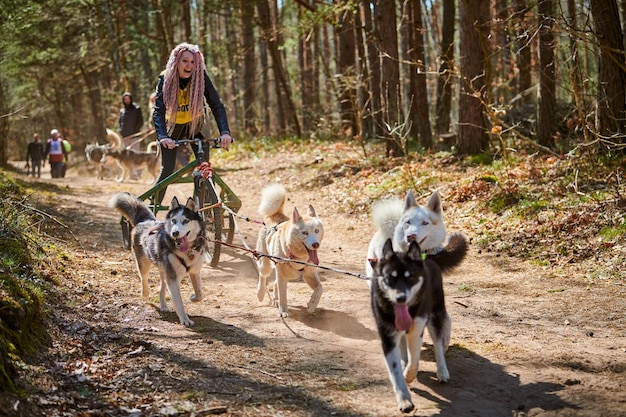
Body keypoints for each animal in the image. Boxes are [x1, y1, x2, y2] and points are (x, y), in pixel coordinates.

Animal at [108, 191, 205, 324]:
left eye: (186, 221)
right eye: (173, 220)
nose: (175, 233)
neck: (187, 251)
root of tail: (145, 221)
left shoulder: (194, 271)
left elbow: (200, 294)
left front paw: (193, 297)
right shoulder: (173, 277)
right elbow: (178, 301)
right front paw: (185, 319)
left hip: (164, 271)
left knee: (162, 286)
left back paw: (163, 305)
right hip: (144, 264)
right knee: (143, 278)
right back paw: (145, 294)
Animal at [255, 184, 324, 316]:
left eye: (317, 231)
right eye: (305, 233)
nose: (316, 244)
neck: (297, 256)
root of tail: (275, 214)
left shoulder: (309, 273)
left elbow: (320, 288)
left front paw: (312, 305)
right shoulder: (282, 274)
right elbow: (283, 295)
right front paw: (283, 311)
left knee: (275, 283)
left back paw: (275, 299)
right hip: (266, 264)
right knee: (262, 275)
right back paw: (261, 293)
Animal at [368, 234, 466, 412]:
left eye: (411, 278)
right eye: (390, 278)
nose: (401, 298)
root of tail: (426, 257)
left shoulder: (417, 331)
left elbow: (415, 361)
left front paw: (409, 374)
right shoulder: (388, 337)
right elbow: (396, 371)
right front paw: (404, 400)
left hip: (435, 314)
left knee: (439, 341)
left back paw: (442, 370)